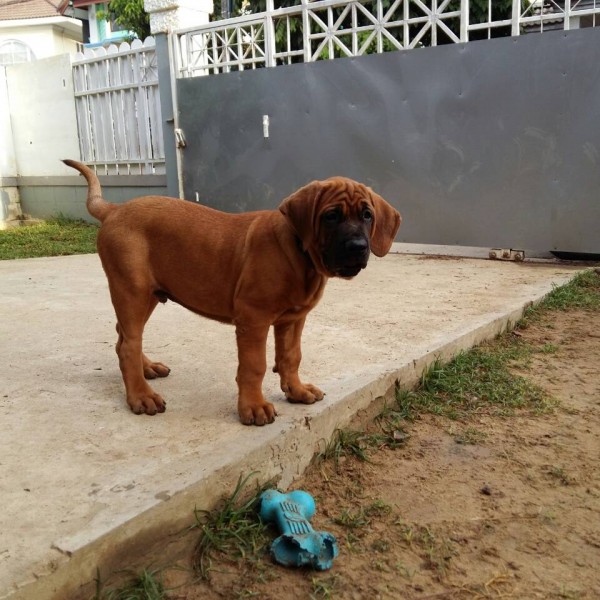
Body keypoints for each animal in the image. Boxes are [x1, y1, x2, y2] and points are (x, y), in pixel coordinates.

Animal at [63, 158, 400, 422]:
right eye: (331, 216)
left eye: (367, 215)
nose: (358, 247)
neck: (299, 253)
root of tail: (114, 209)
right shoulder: (253, 319)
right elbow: (254, 365)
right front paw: (253, 407)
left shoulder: (293, 319)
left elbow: (291, 356)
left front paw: (296, 390)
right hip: (131, 290)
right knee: (128, 344)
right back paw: (140, 396)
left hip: (148, 294)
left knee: (124, 336)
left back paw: (146, 369)